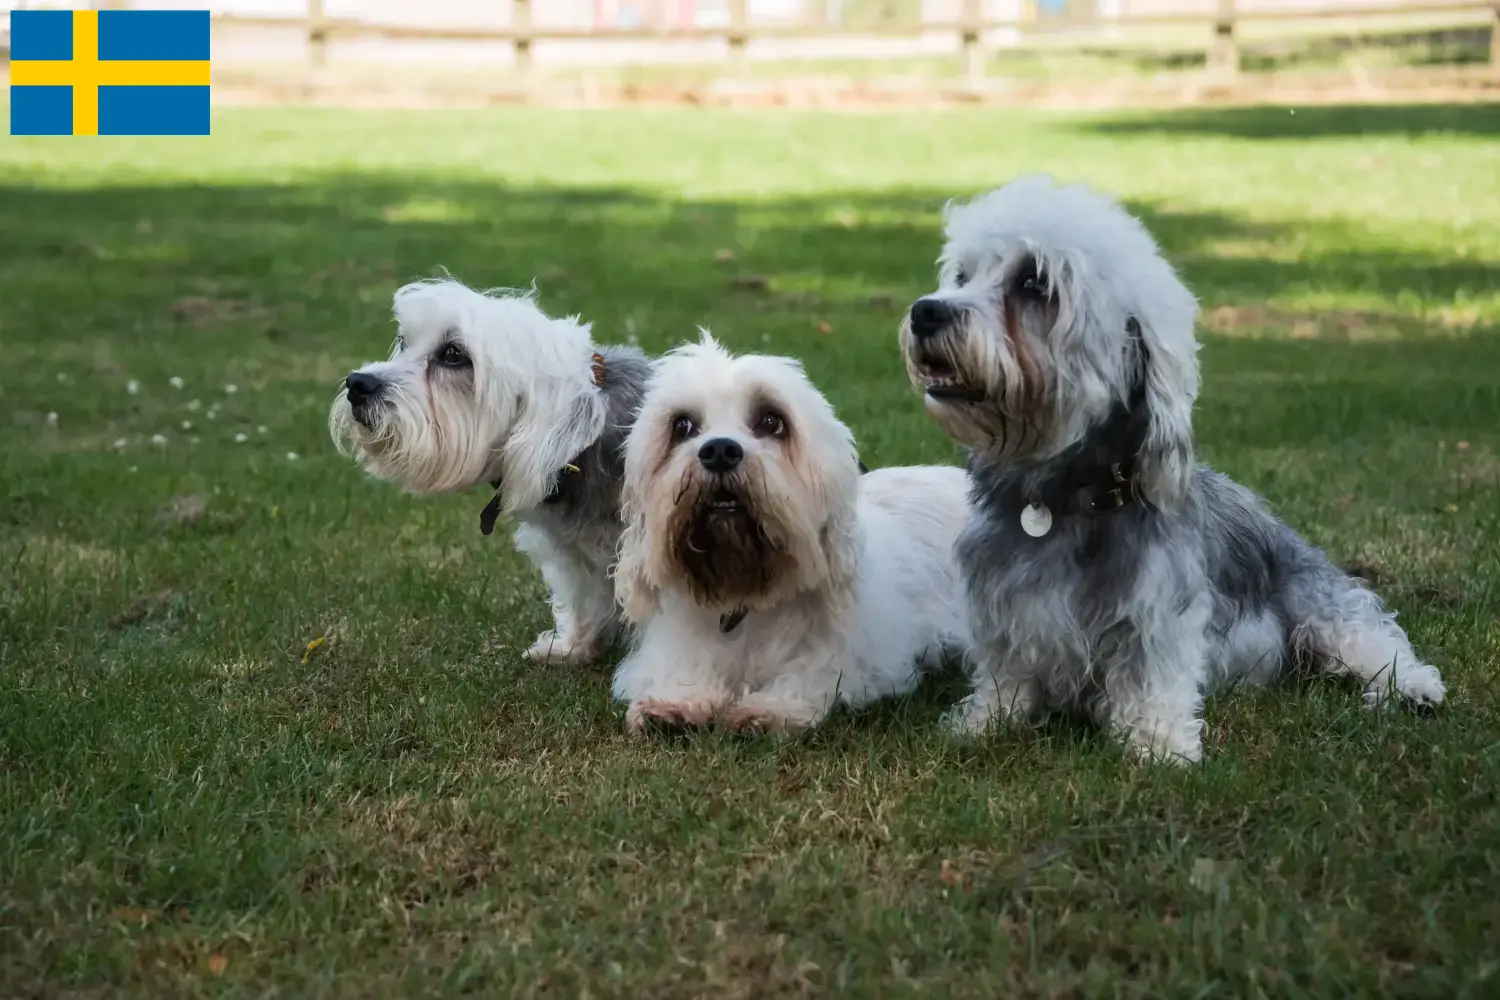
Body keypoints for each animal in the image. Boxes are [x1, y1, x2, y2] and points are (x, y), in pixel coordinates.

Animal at [609, 335, 972, 734]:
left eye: (771, 421)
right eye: (682, 426)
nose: (719, 450)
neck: (743, 594)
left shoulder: (857, 658)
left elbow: (810, 674)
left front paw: (768, 708)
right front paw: (676, 704)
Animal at [894, 176, 1446, 761]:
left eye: (1034, 282)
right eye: (962, 276)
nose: (926, 312)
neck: (1063, 498)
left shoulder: (1158, 613)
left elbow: (1150, 677)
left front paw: (1158, 744)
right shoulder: (1005, 607)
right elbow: (1006, 673)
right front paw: (985, 722)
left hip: (1323, 606)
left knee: (1376, 639)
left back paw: (1416, 689)